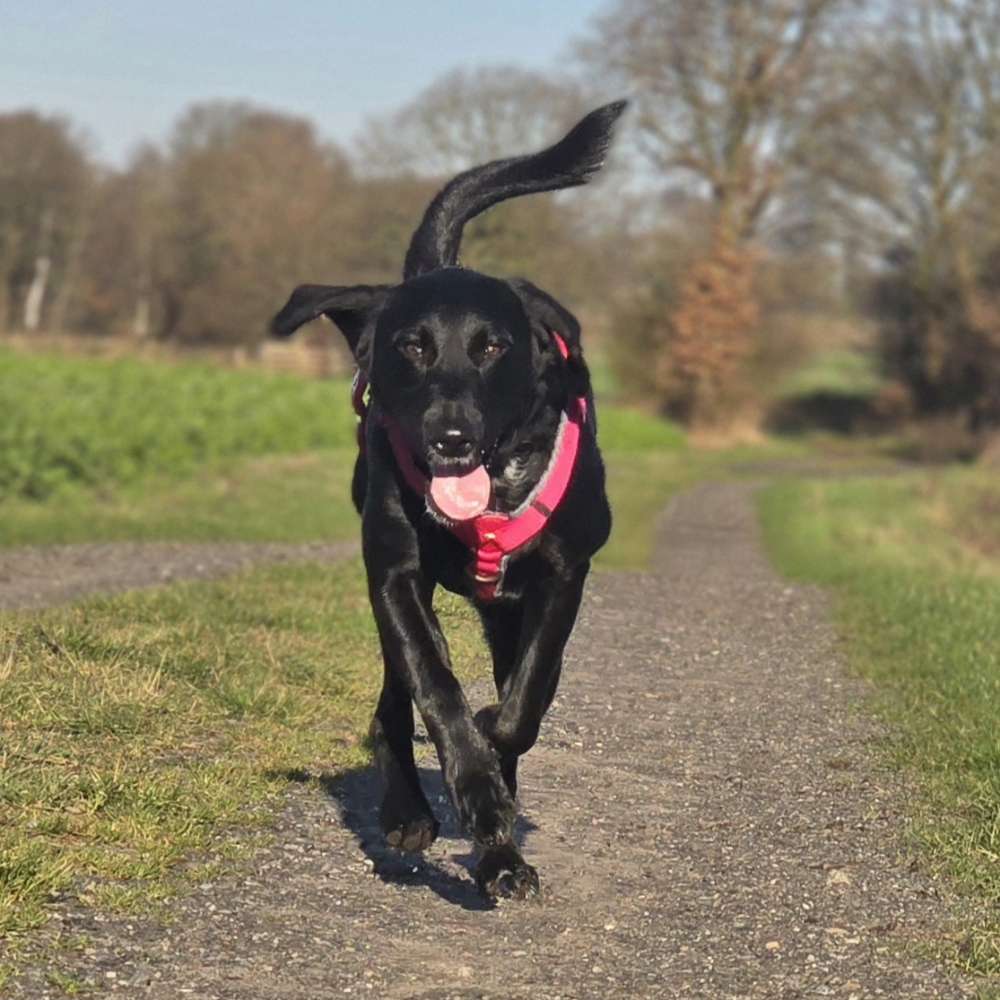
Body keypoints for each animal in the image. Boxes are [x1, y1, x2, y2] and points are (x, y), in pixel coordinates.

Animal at [274, 101, 624, 900]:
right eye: (411, 346)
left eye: (494, 347)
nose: (452, 436)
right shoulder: (395, 577)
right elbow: (435, 691)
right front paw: (468, 784)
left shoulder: (564, 576)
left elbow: (524, 703)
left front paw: (496, 772)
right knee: (393, 701)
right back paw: (414, 811)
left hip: (506, 611)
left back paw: (500, 849)